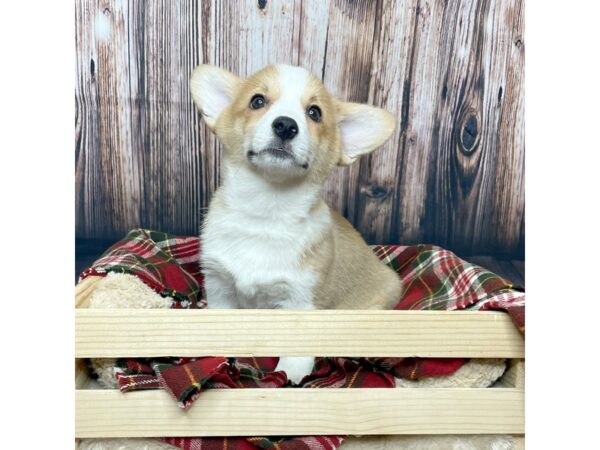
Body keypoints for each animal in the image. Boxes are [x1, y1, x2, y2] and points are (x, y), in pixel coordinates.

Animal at [190, 63, 400, 384]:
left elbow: (295, 354)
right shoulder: (220, 285)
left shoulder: (300, 298)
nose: (286, 125)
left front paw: (289, 376)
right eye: (257, 101)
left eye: (314, 112)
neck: (266, 211)